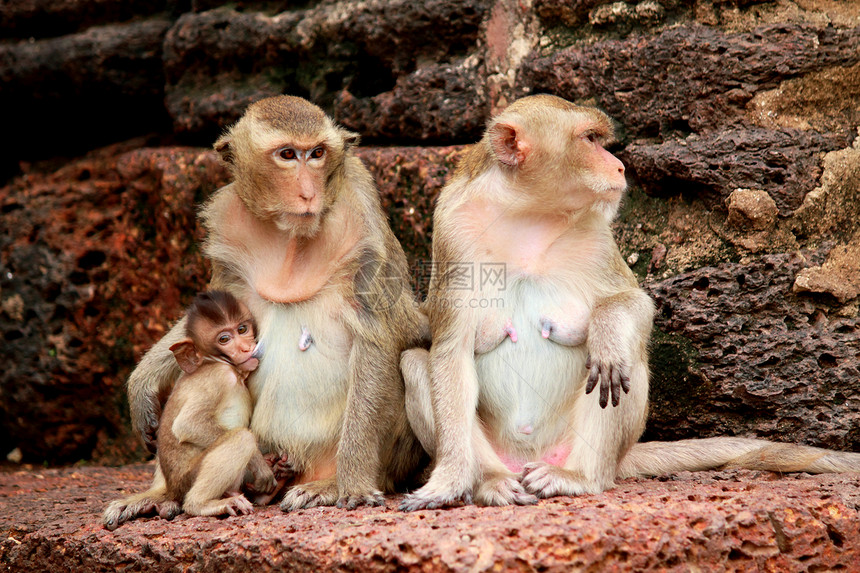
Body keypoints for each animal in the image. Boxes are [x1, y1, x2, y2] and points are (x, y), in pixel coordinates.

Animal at [103, 290, 278, 528]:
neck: (217, 362)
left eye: (242, 329)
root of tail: (172, 489)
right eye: (224, 339)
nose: (245, 347)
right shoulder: (218, 378)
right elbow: (188, 425)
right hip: (188, 479)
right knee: (241, 439)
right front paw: (261, 466)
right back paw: (203, 504)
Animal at [125, 94, 426, 510]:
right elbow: (209, 311)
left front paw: (351, 485)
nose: (309, 193)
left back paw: (327, 483)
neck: (291, 237)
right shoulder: (229, 224)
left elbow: (376, 341)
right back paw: (161, 493)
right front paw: (142, 385)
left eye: (316, 154)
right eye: (287, 155)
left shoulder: (361, 221)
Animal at [402, 95, 860, 510]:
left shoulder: (595, 232)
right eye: (589, 139)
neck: (527, 215)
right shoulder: (452, 231)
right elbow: (450, 352)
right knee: (415, 363)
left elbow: (633, 303)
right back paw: (490, 482)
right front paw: (449, 480)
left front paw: (606, 331)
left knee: (628, 359)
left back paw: (580, 477)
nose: (620, 166)